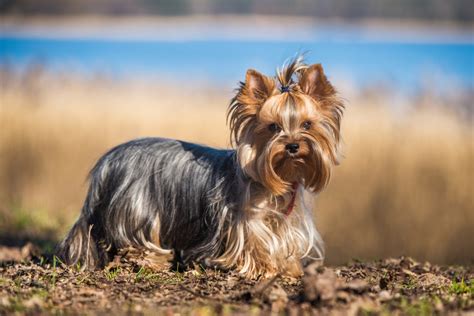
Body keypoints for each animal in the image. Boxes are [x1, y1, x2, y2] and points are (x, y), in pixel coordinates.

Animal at [57, 55, 344, 278]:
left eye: (307, 125)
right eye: (273, 127)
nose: (293, 145)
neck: (278, 178)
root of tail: (107, 162)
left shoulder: (286, 220)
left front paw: (289, 268)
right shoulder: (246, 219)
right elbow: (255, 242)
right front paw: (264, 268)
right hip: (137, 210)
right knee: (135, 242)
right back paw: (154, 261)